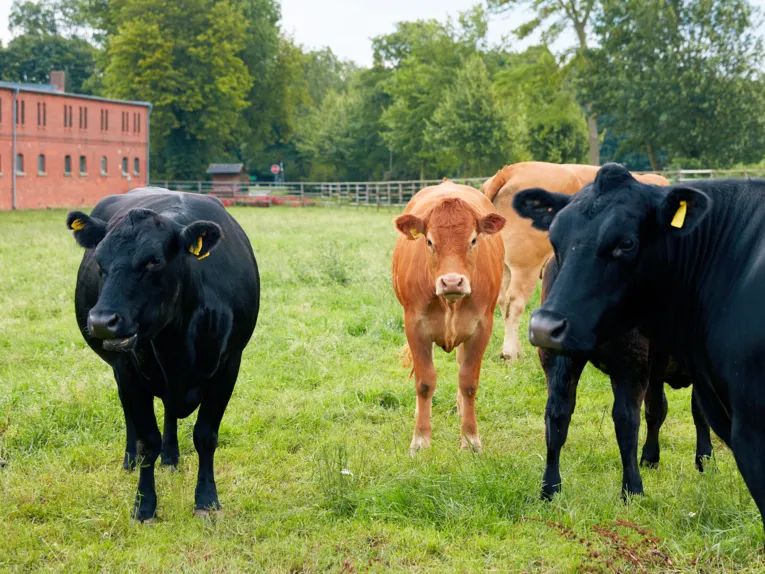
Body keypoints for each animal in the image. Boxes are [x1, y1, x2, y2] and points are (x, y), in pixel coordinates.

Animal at [66, 188, 259, 522]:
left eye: (154, 261)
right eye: (100, 262)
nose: (102, 321)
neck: (178, 343)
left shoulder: (229, 365)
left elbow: (205, 436)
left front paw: (207, 500)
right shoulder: (127, 370)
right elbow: (147, 441)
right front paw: (144, 506)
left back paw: (171, 458)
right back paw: (130, 460)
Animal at [392, 181, 505, 453]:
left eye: (473, 239)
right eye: (429, 241)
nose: (452, 281)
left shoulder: (482, 328)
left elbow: (469, 382)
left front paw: (471, 440)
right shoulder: (414, 326)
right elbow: (424, 383)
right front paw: (420, 440)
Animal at [480, 162, 668, 361]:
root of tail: (510, 171)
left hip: (506, 267)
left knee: (503, 301)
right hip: (525, 266)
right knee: (514, 303)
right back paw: (510, 353)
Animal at [539, 257, 712, 500]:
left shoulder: (656, 368)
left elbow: (657, 410)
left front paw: (650, 458)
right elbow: (699, 412)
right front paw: (705, 461)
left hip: (557, 356)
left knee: (557, 414)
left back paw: (550, 488)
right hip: (630, 359)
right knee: (626, 419)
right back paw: (633, 489)